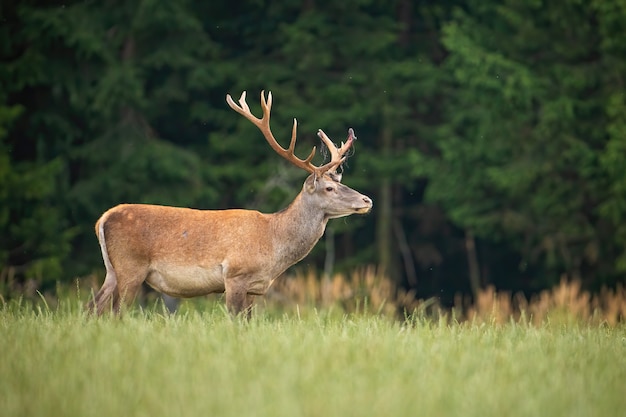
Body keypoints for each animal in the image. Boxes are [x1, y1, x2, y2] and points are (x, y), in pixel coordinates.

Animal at [88, 91, 370, 316]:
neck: (273, 243)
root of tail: (103, 218)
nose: (367, 200)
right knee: (116, 312)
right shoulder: (235, 274)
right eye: (329, 188)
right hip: (130, 266)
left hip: (112, 271)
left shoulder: (255, 288)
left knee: (93, 307)